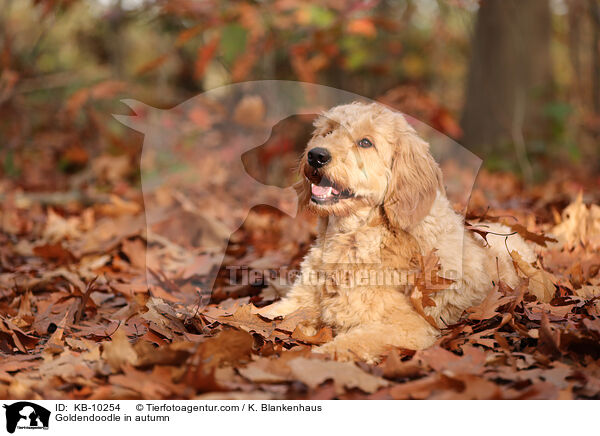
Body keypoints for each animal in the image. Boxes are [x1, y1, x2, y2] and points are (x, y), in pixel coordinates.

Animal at [258, 102, 536, 362]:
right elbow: (259, 312)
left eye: (365, 142)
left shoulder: (408, 325)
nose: (316, 155)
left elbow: (348, 343)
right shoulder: (299, 301)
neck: (355, 238)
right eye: (328, 132)